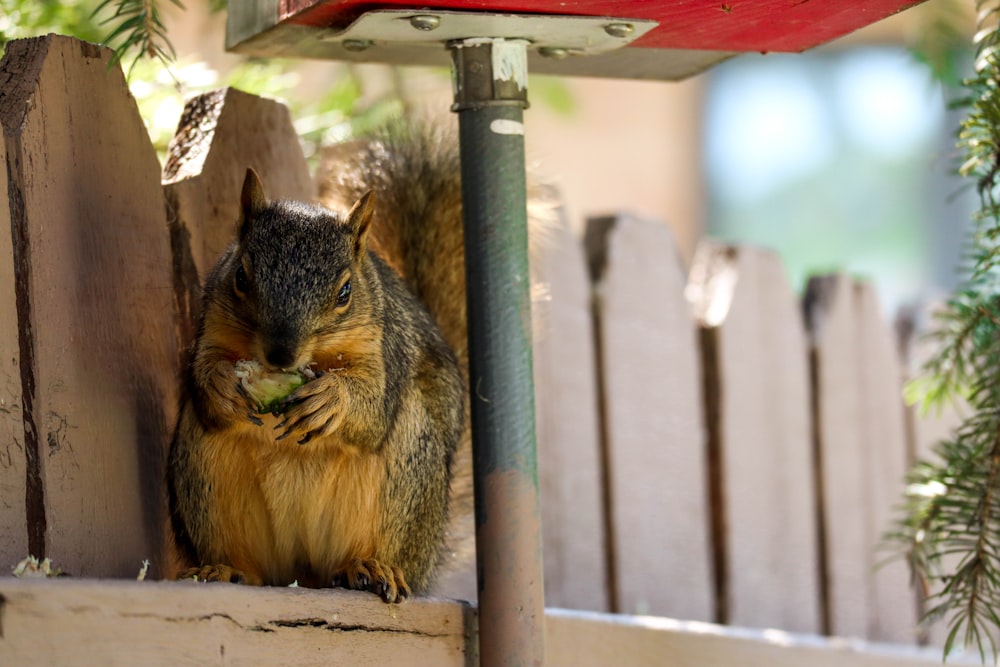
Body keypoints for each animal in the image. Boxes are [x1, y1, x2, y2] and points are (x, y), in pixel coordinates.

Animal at [166, 122, 478, 604]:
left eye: (345, 292)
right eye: (241, 276)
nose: (280, 355)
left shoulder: (386, 349)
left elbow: (371, 409)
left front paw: (332, 399)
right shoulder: (211, 327)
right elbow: (202, 370)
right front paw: (219, 383)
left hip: (408, 473)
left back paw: (371, 567)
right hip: (203, 472)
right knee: (250, 566)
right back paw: (224, 569)